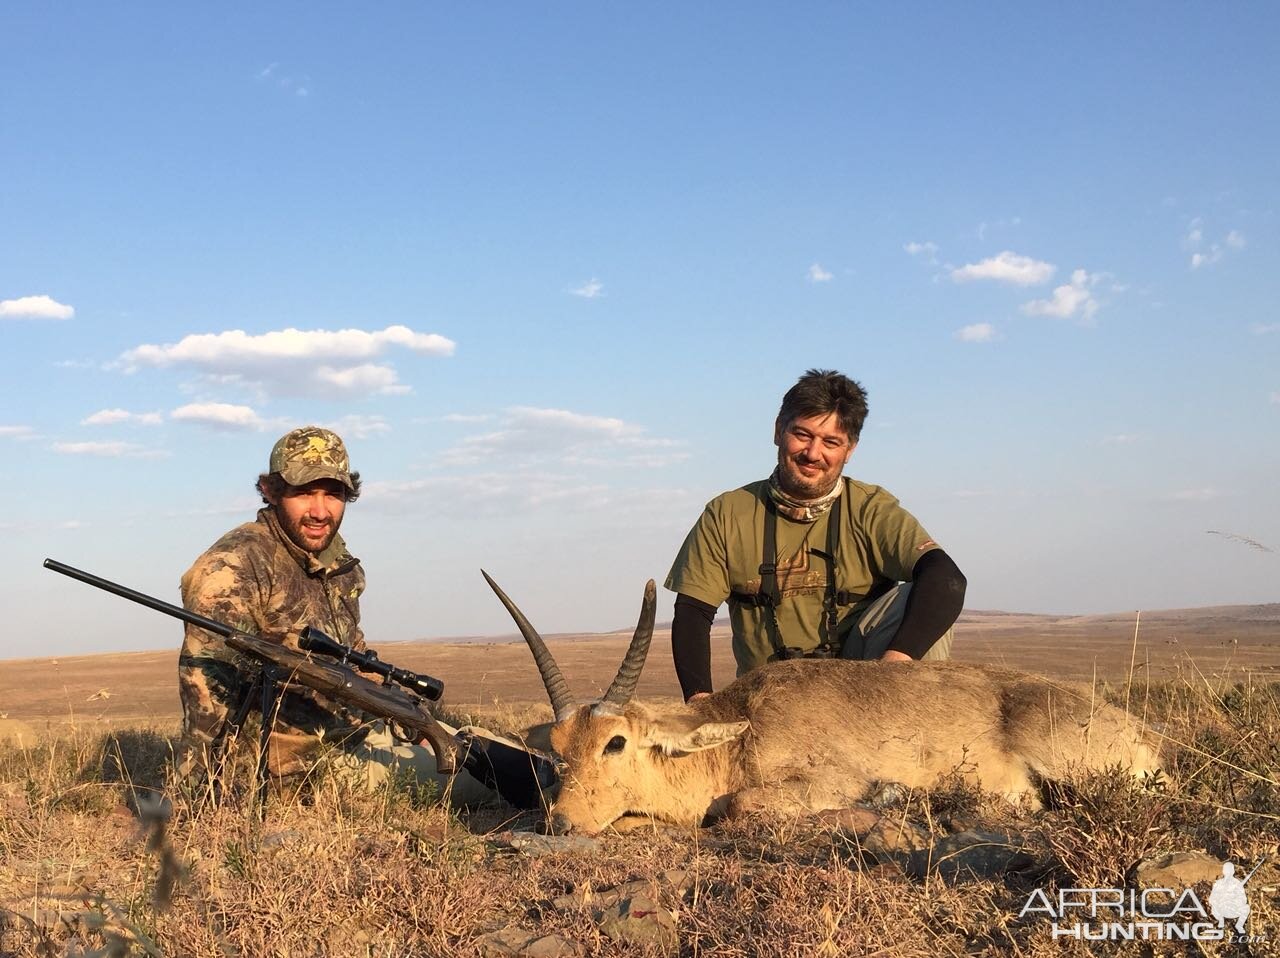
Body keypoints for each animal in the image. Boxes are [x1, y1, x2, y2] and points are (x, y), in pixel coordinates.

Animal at [481, 573, 1162, 835]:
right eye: (555, 752)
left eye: (615, 742)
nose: (560, 821)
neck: (740, 730)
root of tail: (1139, 735)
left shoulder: (817, 780)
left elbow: (736, 806)